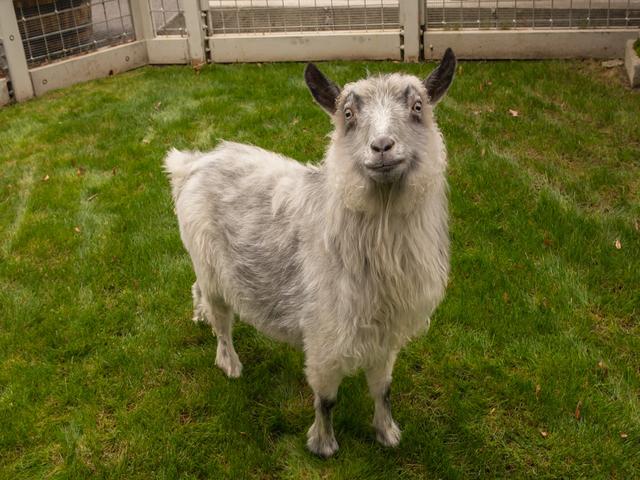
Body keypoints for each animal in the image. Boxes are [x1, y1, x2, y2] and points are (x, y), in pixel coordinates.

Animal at [165, 49, 456, 457]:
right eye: (347, 115)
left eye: (418, 107)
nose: (382, 146)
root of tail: (191, 163)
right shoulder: (323, 336)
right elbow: (326, 399)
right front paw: (323, 445)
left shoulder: (385, 337)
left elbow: (383, 389)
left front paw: (387, 434)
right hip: (211, 266)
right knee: (222, 321)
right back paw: (229, 362)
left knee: (198, 291)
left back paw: (199, 316)